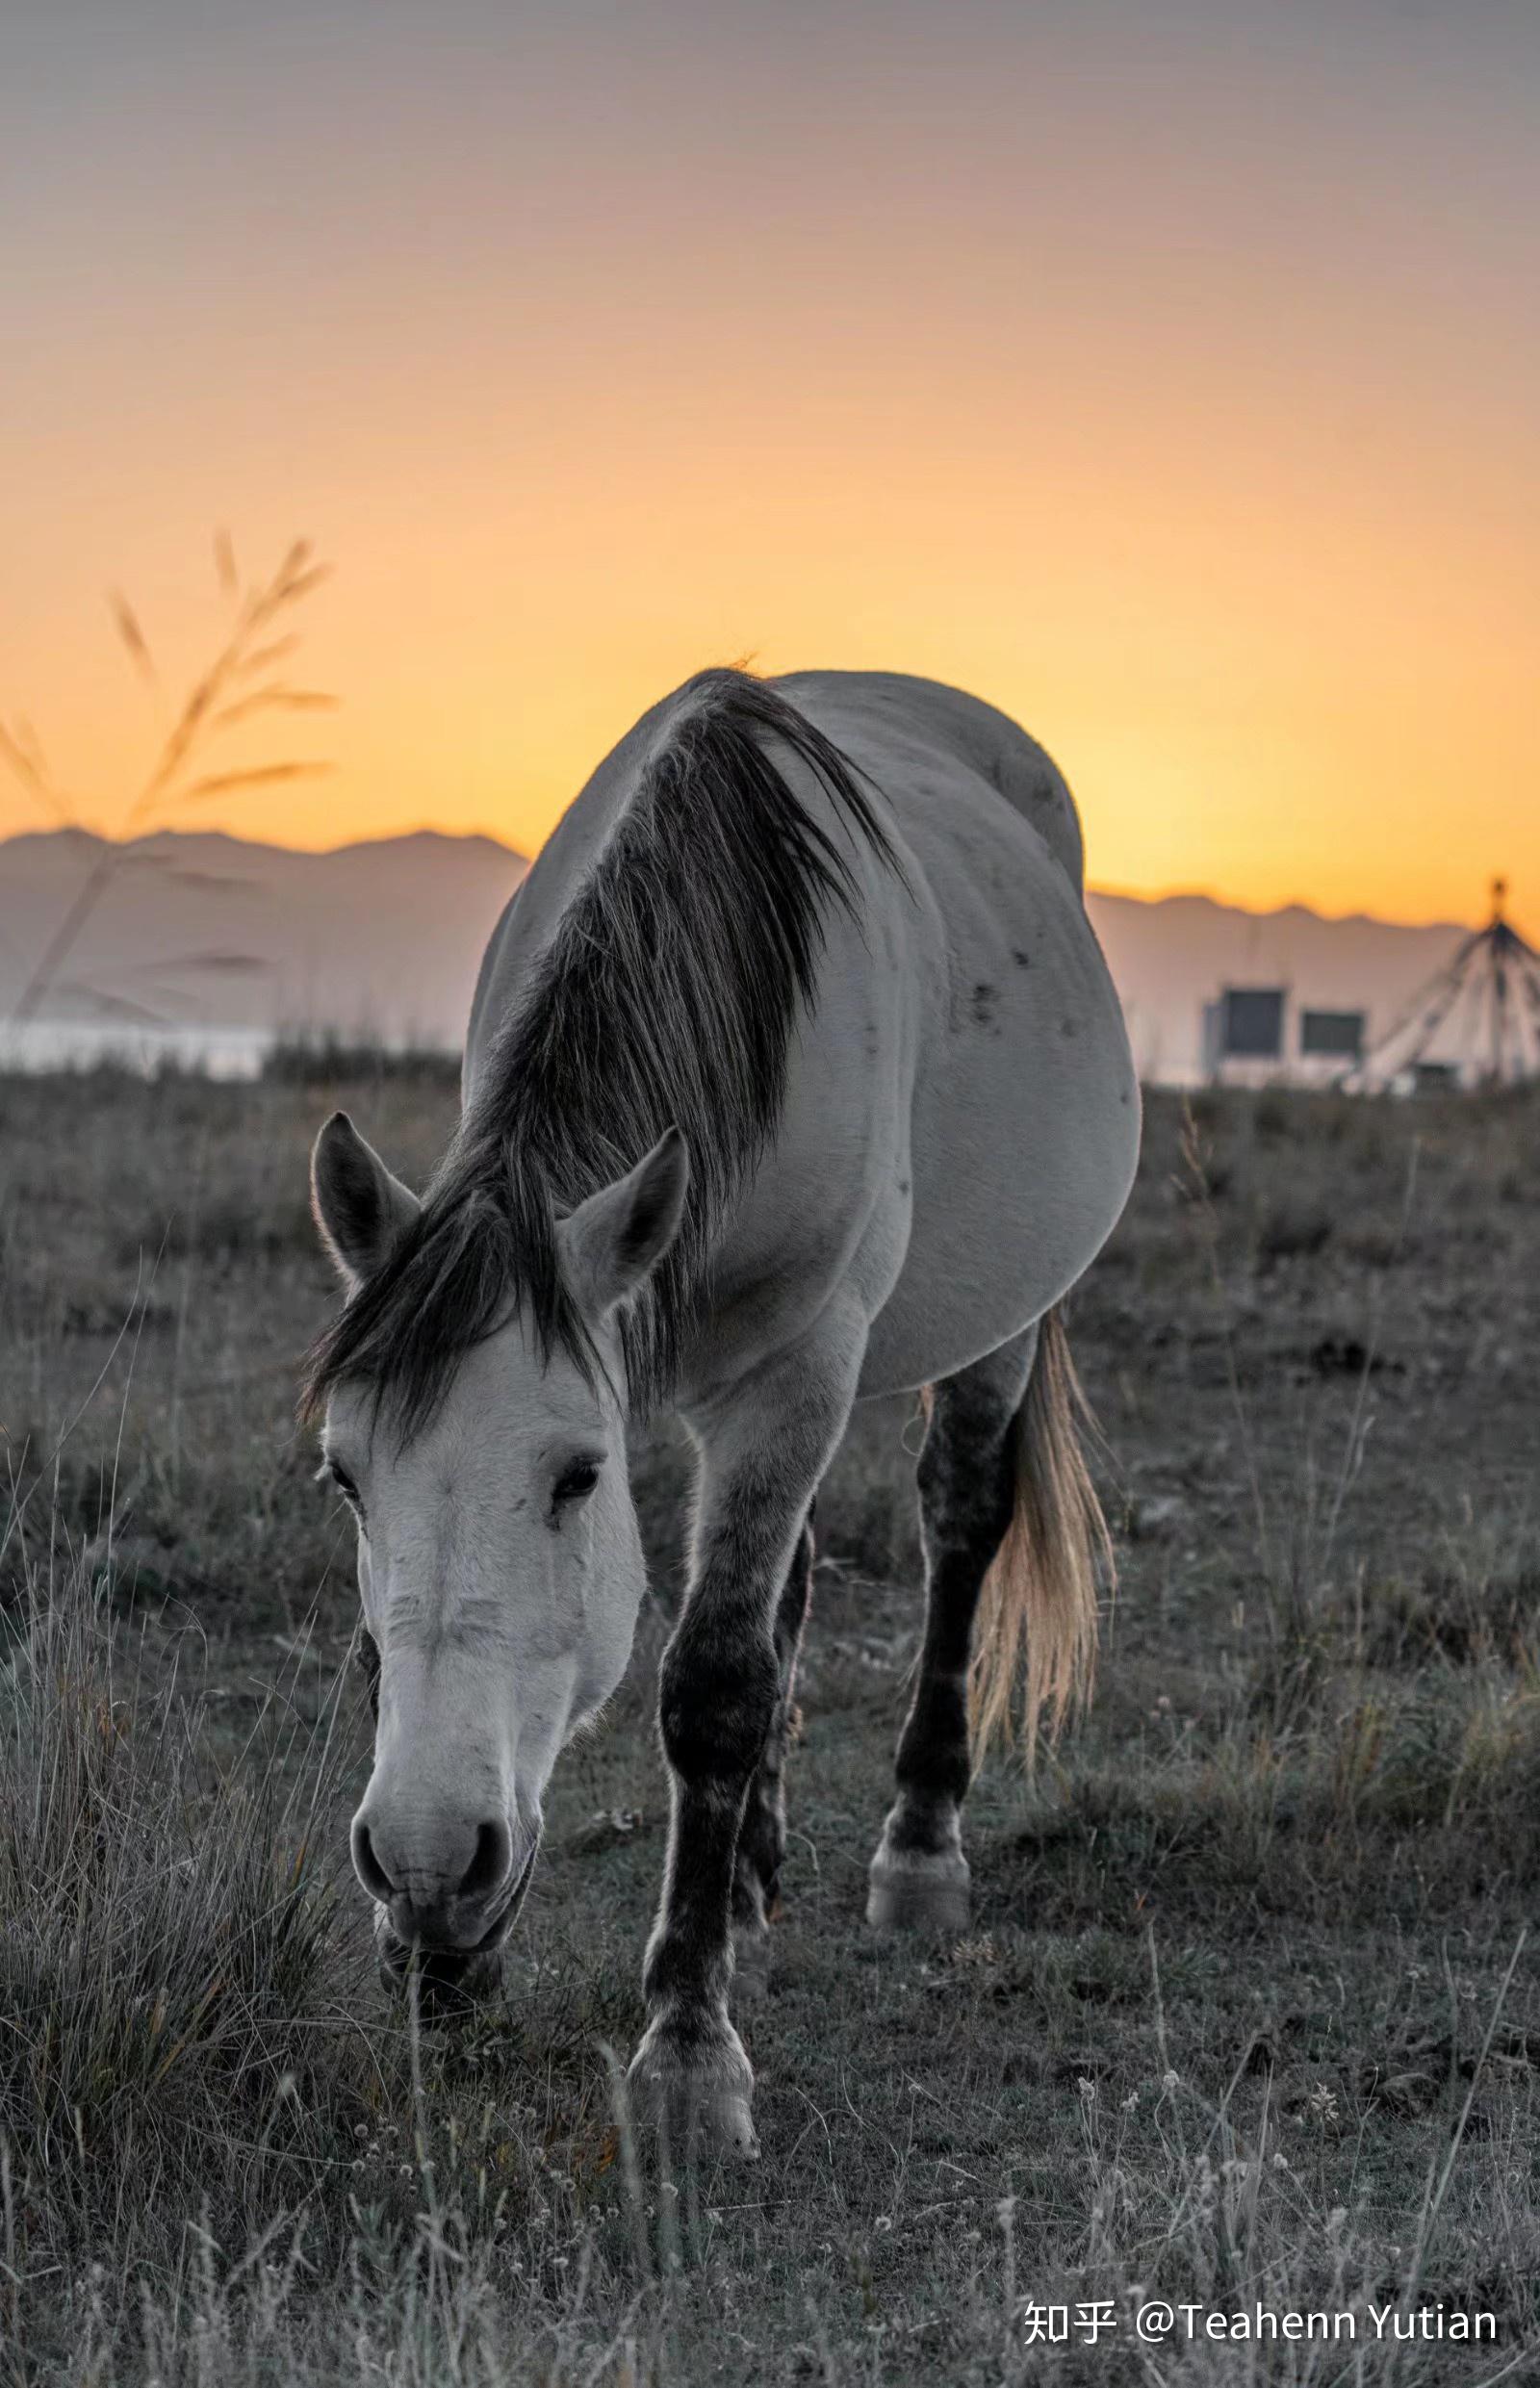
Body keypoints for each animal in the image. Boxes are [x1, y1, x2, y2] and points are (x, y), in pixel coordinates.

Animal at [305, 668, 1136, 2148]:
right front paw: (447, 1961)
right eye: (347, 1477)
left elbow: (714, 1684)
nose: (424, 1858)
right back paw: (749, 1871)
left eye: (578, 1476)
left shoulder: (796, 1368)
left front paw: (689, 2050)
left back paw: (918, 1848)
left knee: (958, 1523)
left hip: (992, 1333)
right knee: (789, 1574)